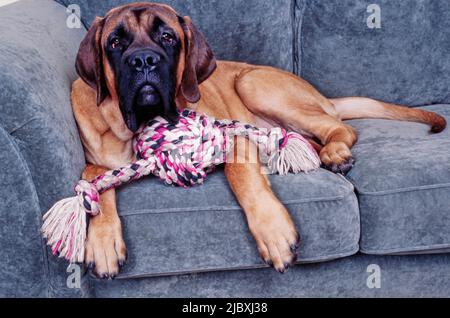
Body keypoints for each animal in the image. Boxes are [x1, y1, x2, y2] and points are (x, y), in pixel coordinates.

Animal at [71, 1, 446, 278]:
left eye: (167, 37)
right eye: (115, 43)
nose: (143, 61)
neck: (136, 128)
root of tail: (321, 95)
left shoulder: (231, 136)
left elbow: (241, 175)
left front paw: (274, 232)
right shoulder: (98, 161)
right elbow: (91, 178)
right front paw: (102, 241)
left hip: (252, 83)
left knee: (341, 128)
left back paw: (336, 152)